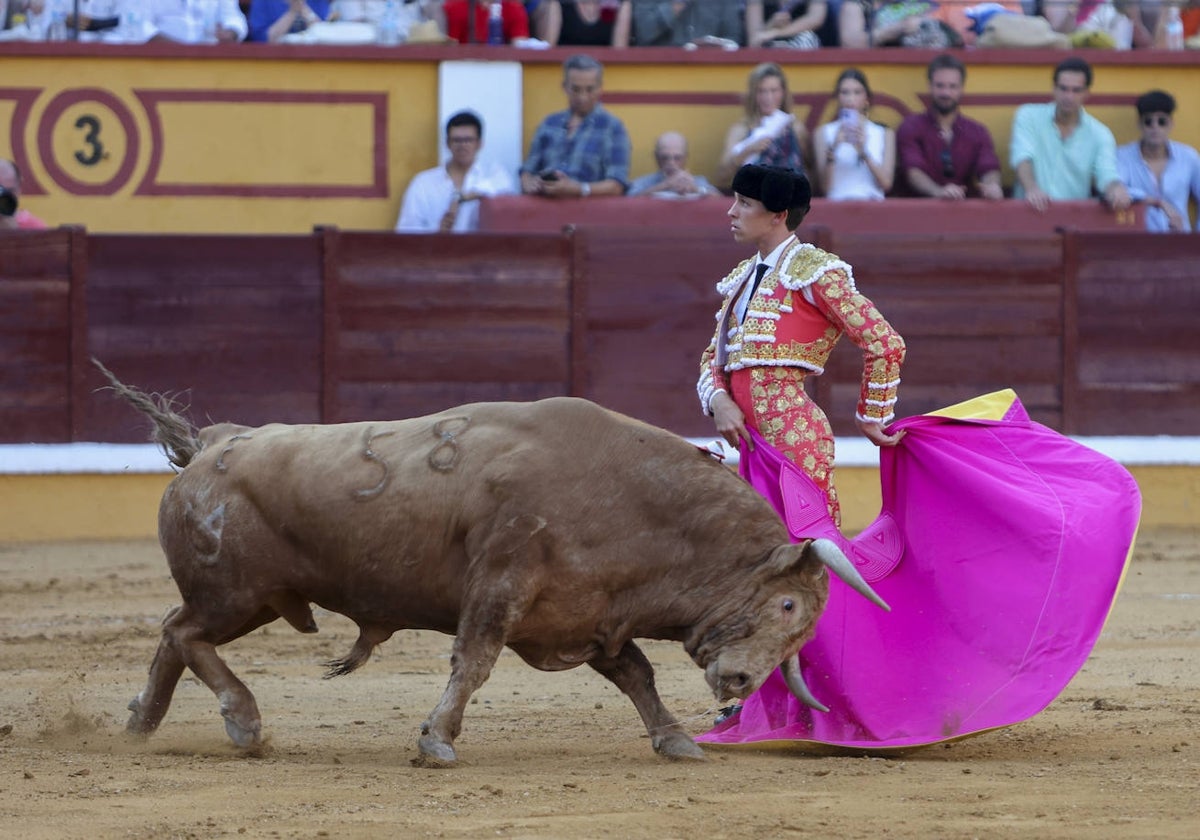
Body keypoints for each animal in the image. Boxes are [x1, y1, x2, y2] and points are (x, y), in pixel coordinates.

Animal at [98, 360, 888, 768]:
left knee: (172, 633)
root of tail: (210, 443)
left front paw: (675, 739)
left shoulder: (588, 614)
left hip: (250, 598)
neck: (633, 500)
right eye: (788, 606)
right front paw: (435, 742)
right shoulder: (502, 584)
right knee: (184, 633)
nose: (741, 683)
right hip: (240, 595)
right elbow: (473, 664)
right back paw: (242, 722)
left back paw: (142, 722)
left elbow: (636, 674)